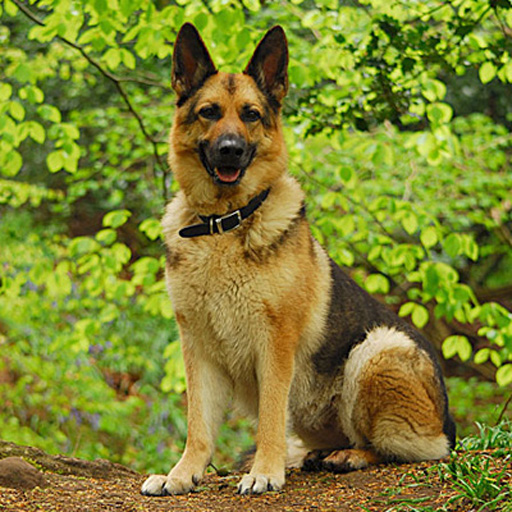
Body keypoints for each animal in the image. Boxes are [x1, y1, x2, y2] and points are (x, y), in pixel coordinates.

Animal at [141, 23, 456, 496]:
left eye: (251, 115)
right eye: (209, 112)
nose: (230, 149)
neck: (224, 225)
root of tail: (448, 420)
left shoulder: (275, 344)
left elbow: (271, 416)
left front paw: (265, 472)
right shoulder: (196, 348)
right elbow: (198, 424)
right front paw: (182, 474)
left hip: (377, 348)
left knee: (409, 448)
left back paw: (350, 455)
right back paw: (316, 455)